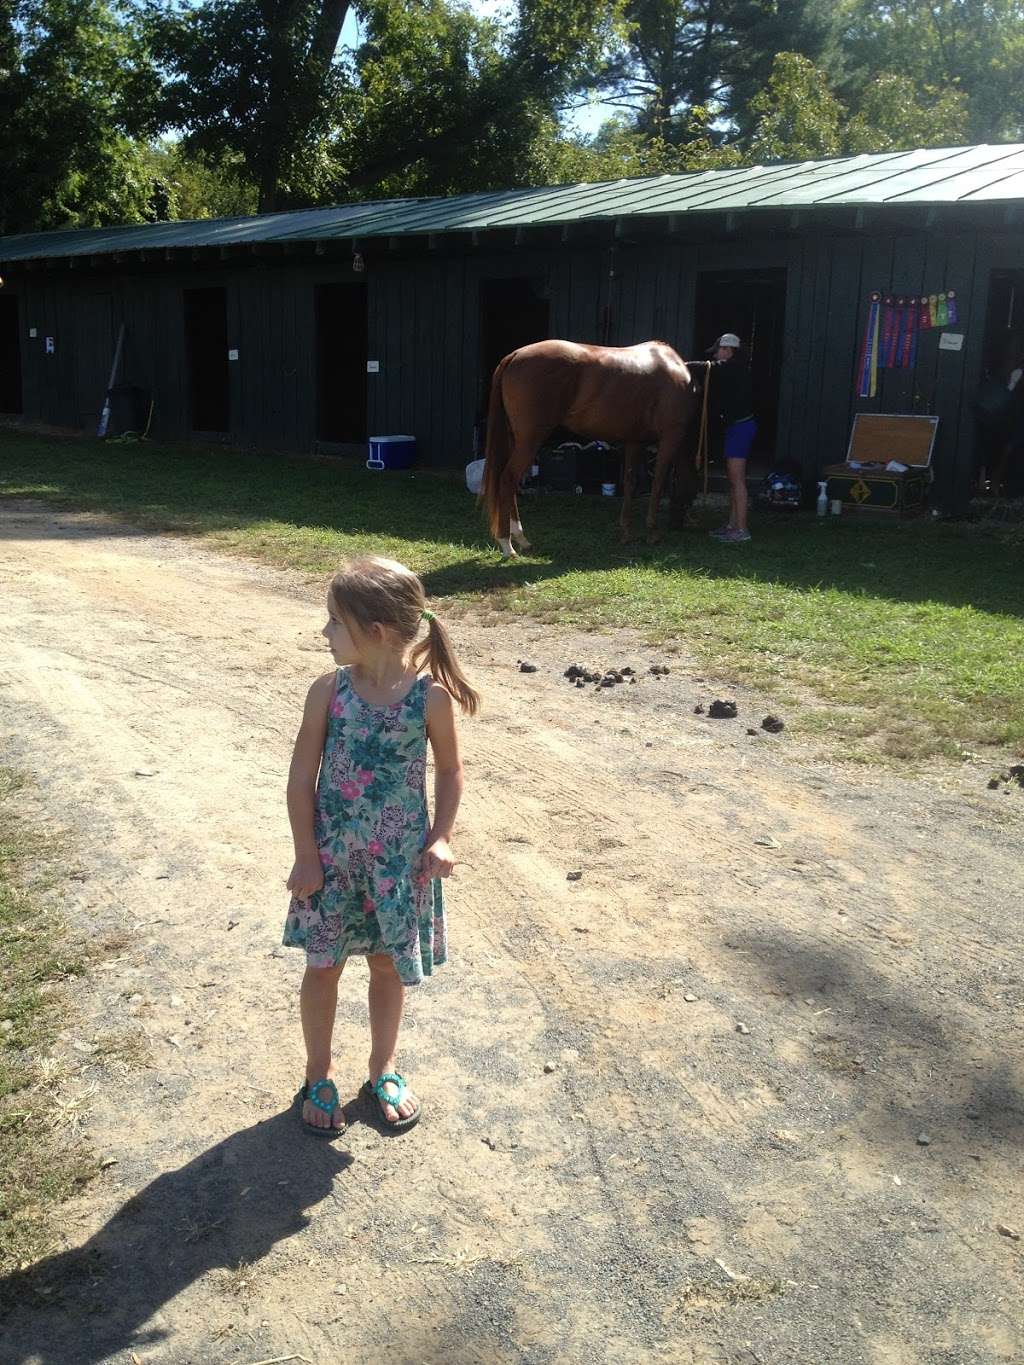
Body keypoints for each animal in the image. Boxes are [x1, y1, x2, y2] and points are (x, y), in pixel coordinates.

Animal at [481, 339, 700, 557]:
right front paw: (653, 533)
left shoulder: (634, 441)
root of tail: (515, 355)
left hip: (515, 440)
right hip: (530, 439)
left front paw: (626, 533)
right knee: (508, 479)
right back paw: (508, 545)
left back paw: (521, 539)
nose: (690, 522)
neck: (673, 368)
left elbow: (630, 483)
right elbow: (658, 484)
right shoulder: (670, 437)